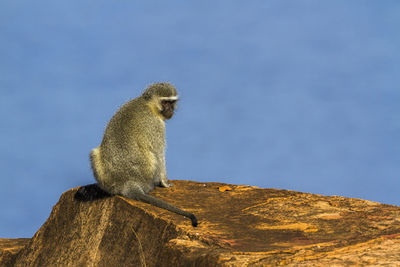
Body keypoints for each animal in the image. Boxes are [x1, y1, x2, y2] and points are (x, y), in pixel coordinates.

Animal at [84, 82, 197, 227]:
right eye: (165, 102)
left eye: (172, 102)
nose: (170, 110)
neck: (147, 105)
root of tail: (126, 182)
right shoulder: (157, 126)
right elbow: (159, 154)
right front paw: (165, 183)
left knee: (94, 153)